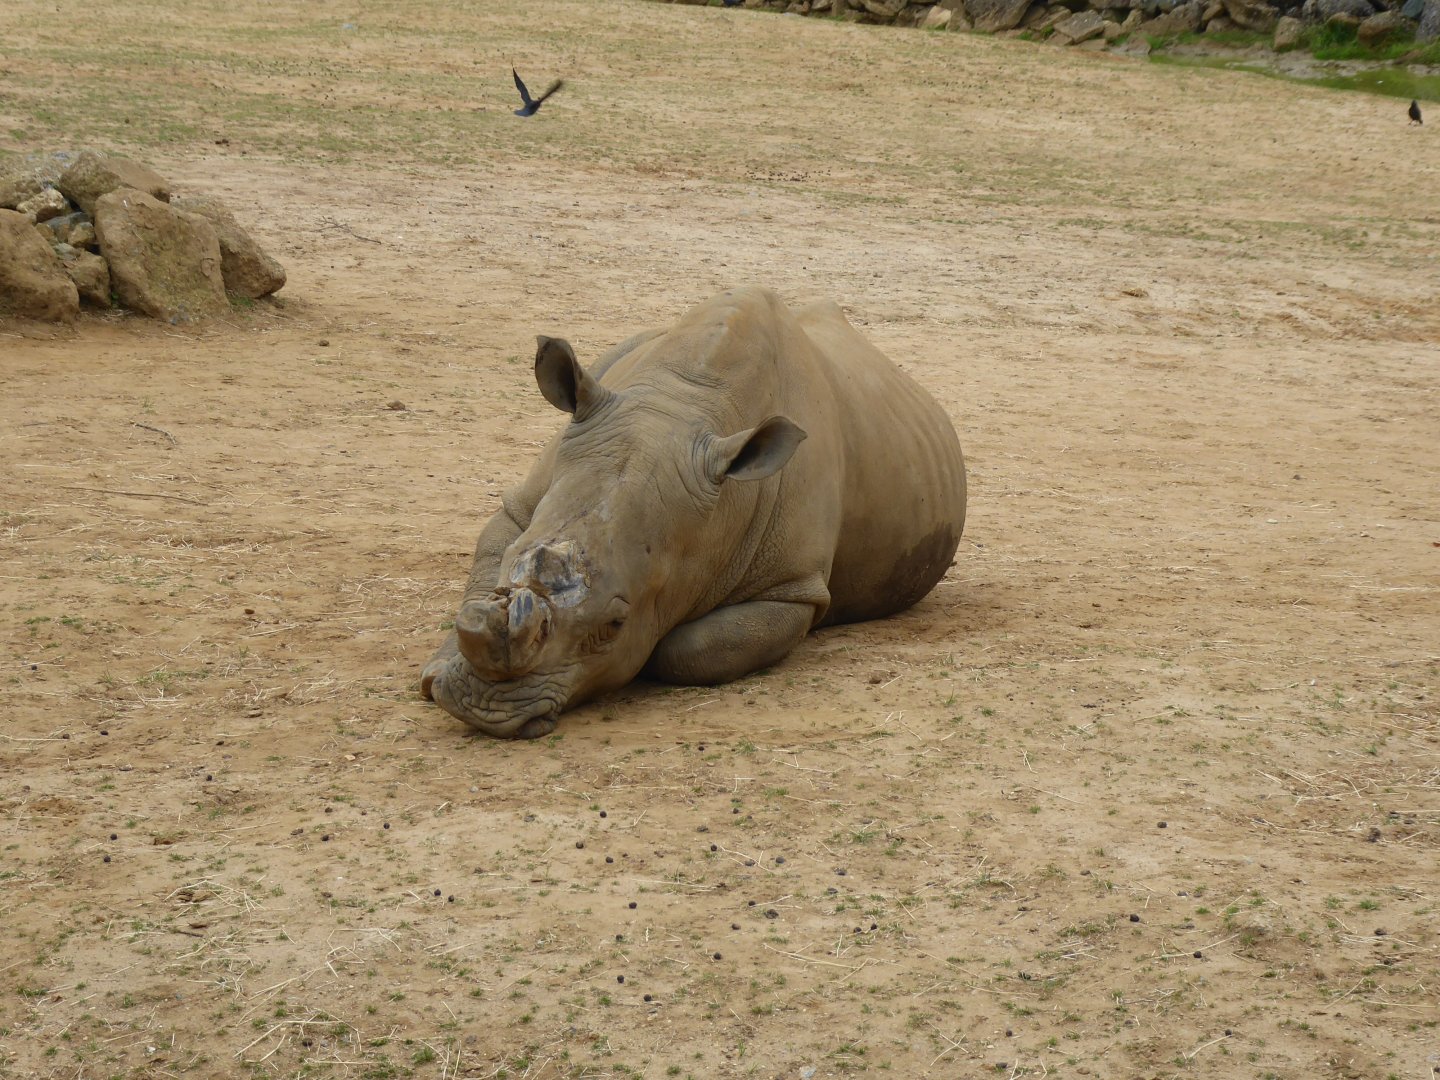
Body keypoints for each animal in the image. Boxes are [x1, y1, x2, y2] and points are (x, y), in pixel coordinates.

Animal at [421, 287, 966, 738]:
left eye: (615, 624)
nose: (481, 710)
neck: (685, 402)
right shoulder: (521, 506)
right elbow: (486, 564)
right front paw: (434, 674)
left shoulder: (791, 587)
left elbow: (687, 649)